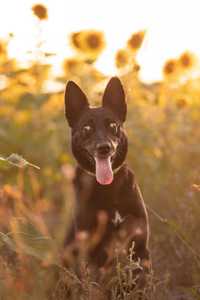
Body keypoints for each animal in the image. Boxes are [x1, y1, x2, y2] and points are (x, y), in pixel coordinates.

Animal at [63, 77, 150, 272]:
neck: (108, 188)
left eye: (113, 126)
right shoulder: (87, 234)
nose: (104, 148)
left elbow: (131, 226)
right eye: (87, 128)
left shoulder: (140, 226)